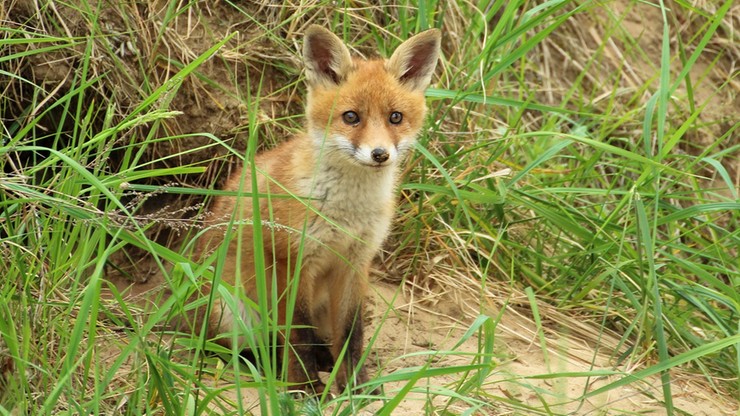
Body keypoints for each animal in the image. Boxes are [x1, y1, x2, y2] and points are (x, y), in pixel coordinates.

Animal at [194, 26, 442, 394]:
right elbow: (298, 332)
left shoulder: (356, 261)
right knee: (244, 349)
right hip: (233, 313)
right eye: (351, 117)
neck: (347, 212)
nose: (380, 154)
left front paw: (356, 388)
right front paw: (304, 388)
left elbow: (351, 335)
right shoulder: (291, 259)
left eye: (395, 117)